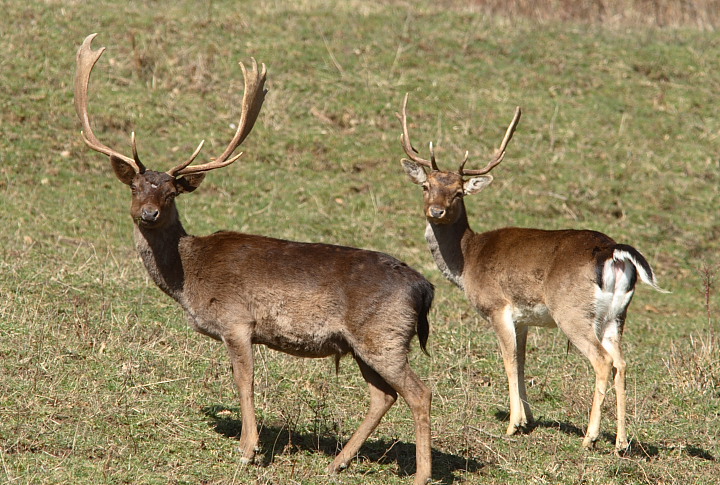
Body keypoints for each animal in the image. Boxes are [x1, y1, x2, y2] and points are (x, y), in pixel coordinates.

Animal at [74, 32, 434, 482]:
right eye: (136, 187)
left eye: (171, 193)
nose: (148, 214)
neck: (189, 278)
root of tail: (424, 287)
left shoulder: (236, 320)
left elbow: (244, 383)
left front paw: (248, 450)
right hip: (362, 344)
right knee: (383, 396)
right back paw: (337, 461)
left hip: (384, 335)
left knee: (420, 392)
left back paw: (420, 473)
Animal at [396, 92, 668, 452]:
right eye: (426, 186)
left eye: (458, 192)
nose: (436, 211)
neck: (468, 260)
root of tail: (613, 253)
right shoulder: (523, 318)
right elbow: (523, 361)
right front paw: (529, 419)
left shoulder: (497, 307)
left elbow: (510, 361)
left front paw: (513, 424)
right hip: (617, 315)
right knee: (622, 363)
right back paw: (621, 442)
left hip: (573, 311)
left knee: (603, 362)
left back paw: (590, 437)